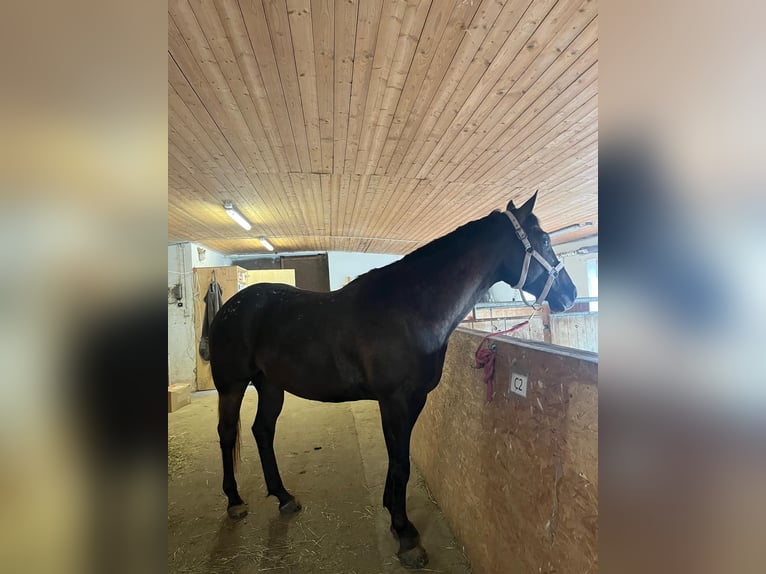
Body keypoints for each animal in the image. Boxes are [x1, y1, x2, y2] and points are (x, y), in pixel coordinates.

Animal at [205, 192, 577, 568]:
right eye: (545, 241)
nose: (570, 294)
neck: (410, 308)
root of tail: (229, 307)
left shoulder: (412, 401)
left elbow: (398, 460)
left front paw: (392, 513)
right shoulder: (395, 400)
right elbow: (401, 464)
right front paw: (405, 534)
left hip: (270, 386)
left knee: (262, 431)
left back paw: (283, 496)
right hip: (232, 386)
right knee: (227, 433)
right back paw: (235, 501)